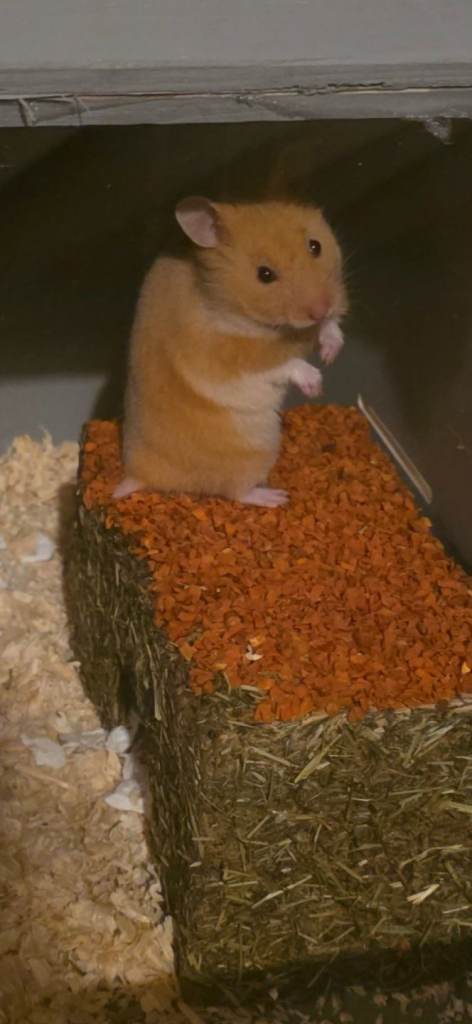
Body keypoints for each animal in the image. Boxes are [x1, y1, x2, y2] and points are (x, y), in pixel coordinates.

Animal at [114, 197, 348, 508]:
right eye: (264, 274)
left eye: (315, 246)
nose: (321, 308)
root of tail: (138, 476)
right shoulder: (226, 356)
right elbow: (284, 363)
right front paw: (316, 385)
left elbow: (329, 328)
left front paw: (330, 354)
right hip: (255, 453)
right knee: (236, 492)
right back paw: (277, 497)